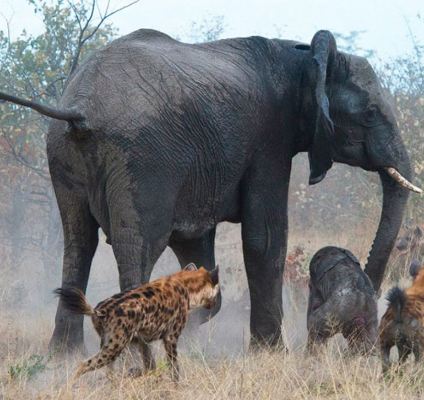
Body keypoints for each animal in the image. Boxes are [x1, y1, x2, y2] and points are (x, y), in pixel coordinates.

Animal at [1, 28, 422, 354]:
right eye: (370, 112)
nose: (370, 290)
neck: (303, 57)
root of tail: (79, 108)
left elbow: (196, 244)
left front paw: (189, 323)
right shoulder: (269, 141)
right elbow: (266, 237)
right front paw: (269, 354)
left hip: (62, 152)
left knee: (78, 243)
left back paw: (63, 357)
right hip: (139, 159)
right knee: (138, 245)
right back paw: (133, 356)